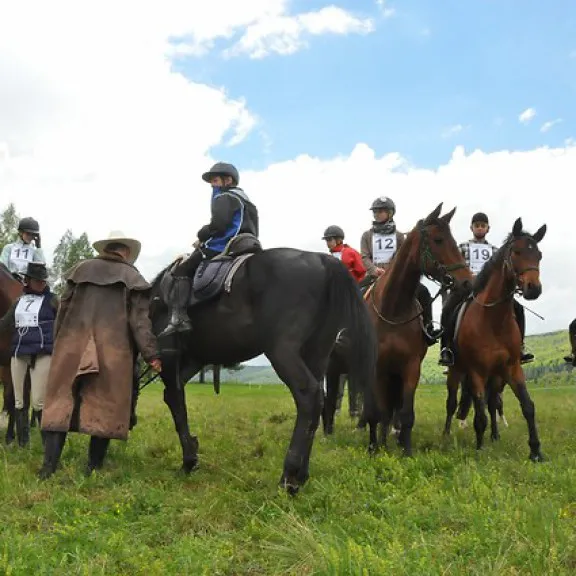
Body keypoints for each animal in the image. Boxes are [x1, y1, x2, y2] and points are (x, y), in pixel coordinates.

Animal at [148, 238, 378, 496]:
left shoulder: (168, 358)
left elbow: (175, 403)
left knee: (308, 397)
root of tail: (322, 260)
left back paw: (289, 477)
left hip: (283, 352)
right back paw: (302, 474)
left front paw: (189, 459)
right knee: (318, 401)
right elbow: (175, 397)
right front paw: (193, 451)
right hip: (317, 354)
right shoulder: (191, 361)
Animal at [364, 202, 472, 454]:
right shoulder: (377, 368)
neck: (392, 309)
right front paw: (376, 448)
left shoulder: (411, 367)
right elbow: (379, 412)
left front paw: (406, 450)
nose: (467, 282)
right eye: (438, 240)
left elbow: (405, 413)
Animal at [444, 218, 548, 462]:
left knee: (492, 404)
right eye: (517, 252)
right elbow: (479, 413)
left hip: (496, 376)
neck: (493, 319)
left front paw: (536, 451)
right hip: (456, 371)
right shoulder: (476, 371)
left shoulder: (511, 368)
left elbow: (527, 406)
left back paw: (495, 436)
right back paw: (446, 435)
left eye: (538, 254)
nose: (533, 289)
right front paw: (480, 449)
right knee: (452, 403)